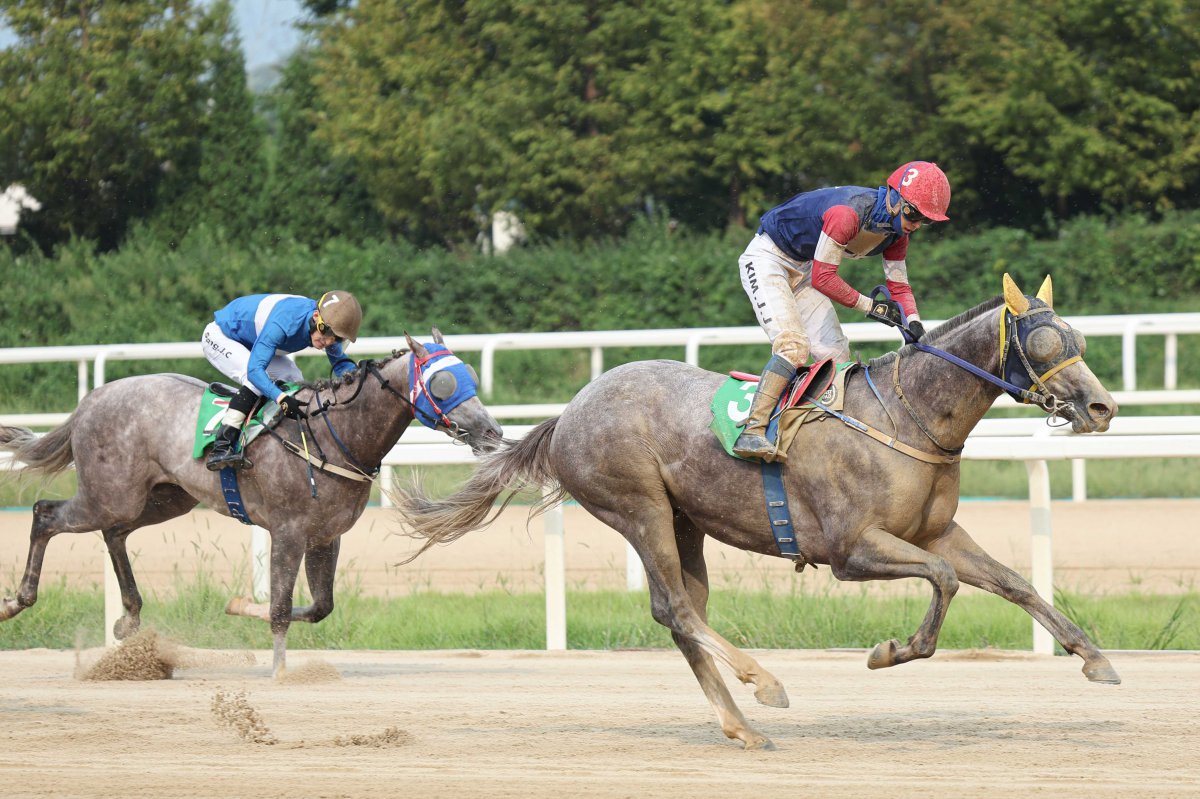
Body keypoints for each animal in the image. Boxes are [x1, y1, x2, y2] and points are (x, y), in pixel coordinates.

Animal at [1, 328, 501, 671]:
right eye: (444, 384)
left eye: (471, 377)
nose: (492, 431)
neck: (333, 434)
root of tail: (91, 399)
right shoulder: (288, 531)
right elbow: (280, 607)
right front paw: (280, 673)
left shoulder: (325, 537)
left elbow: (319, 607)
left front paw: (238, 606)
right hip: (111, 494)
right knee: (46, 514)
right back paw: (17, 601)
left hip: (163, 499)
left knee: (114, 533)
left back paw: (129, 619)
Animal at [396, 275, 1123, 748]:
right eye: (1046, 341)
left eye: (1080, 338)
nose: (1102, 407)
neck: (905, 414)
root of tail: (568, 413)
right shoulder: (851, 548)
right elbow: (943, 583)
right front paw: (890, 651)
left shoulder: (937, 530)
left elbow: (1014, 582)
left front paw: (1093, 656)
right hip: (638, 506)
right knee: (678, 608)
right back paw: (763, 682)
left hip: (684, 521)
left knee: (680, 615)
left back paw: (741, 725)